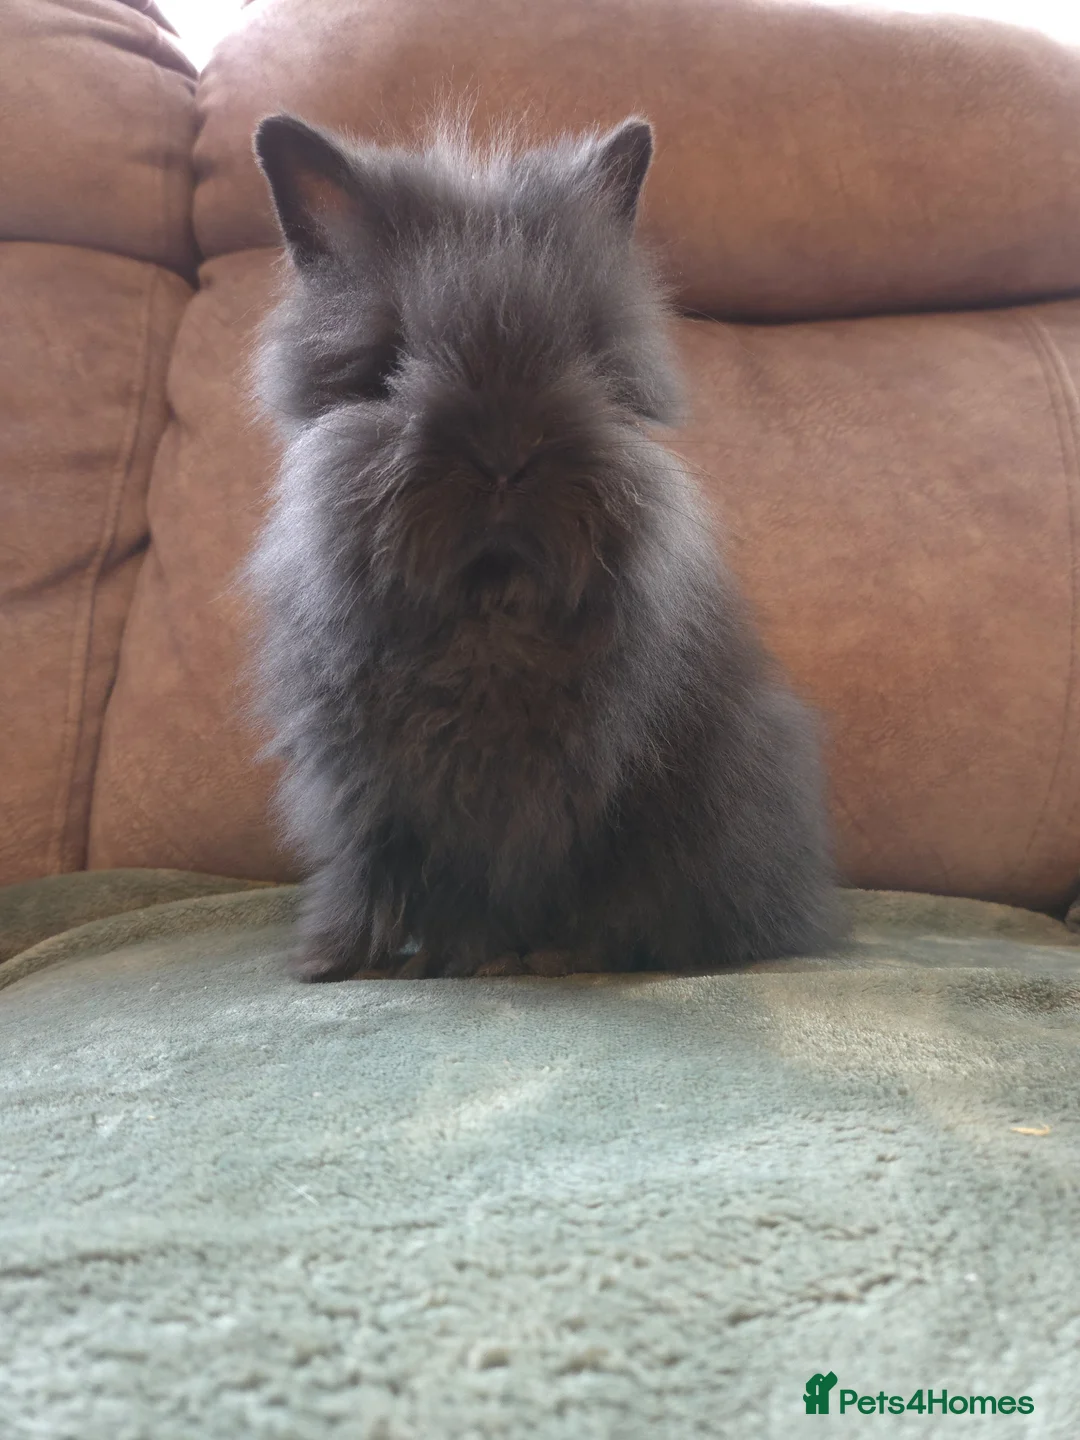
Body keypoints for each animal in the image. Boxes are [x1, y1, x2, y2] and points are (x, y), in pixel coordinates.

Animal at [247, 111, 840, 980]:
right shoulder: (365, 794)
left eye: (579, 357)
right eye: (389, 363)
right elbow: (367, 875)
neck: (489, 615)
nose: (503, 455)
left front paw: (493, 957)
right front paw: (336, 963)